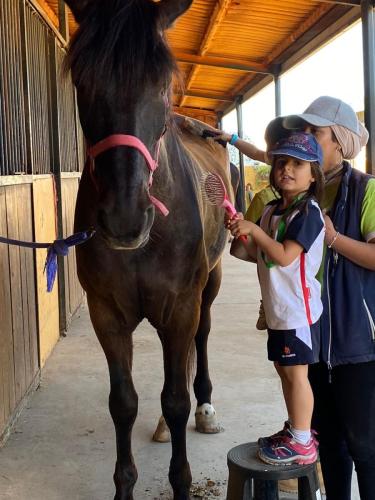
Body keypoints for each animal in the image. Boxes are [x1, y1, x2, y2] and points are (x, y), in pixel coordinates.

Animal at [65, 0, 235, 500]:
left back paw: (206, 409)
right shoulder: (107, 314)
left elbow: (176, 399)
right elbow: (123, 403)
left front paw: (181, 481)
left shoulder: (180, 308)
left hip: (208, 287)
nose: (125, 218)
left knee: (201, 340)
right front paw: (124, 485)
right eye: (82, 80)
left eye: (162, 85)